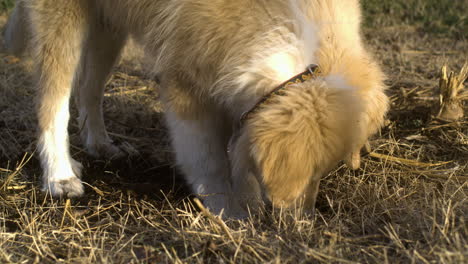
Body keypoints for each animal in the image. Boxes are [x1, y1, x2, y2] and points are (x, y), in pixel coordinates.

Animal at [5, 0, 388, 219]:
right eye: (311, 172)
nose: (302, 223)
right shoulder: (186, 85)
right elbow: (208, 159)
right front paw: (231, 213)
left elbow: (243, 152)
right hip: (61, 19)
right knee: (53, 102)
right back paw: (59, 175)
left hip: (108, 25)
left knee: (89, 87)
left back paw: (102, 145)